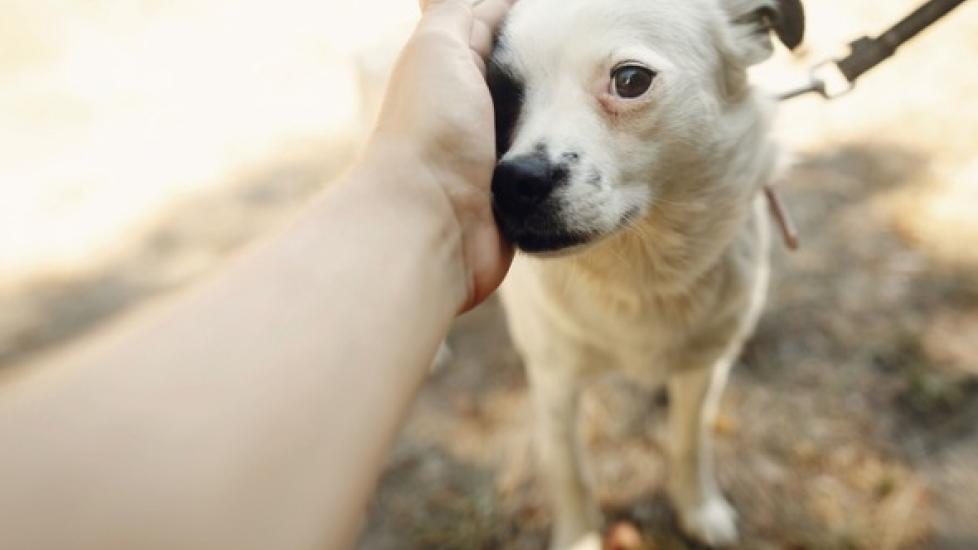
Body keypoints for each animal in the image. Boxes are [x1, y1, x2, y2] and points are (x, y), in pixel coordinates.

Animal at [488, 0, 800, 548]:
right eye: (496, 94)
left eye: (630, 80)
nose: (514, 182)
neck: (639, 272)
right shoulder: (553, 381)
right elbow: (569, 469)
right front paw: (578, 536)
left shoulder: (705, 369)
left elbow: (689, 441)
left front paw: (698, 508)